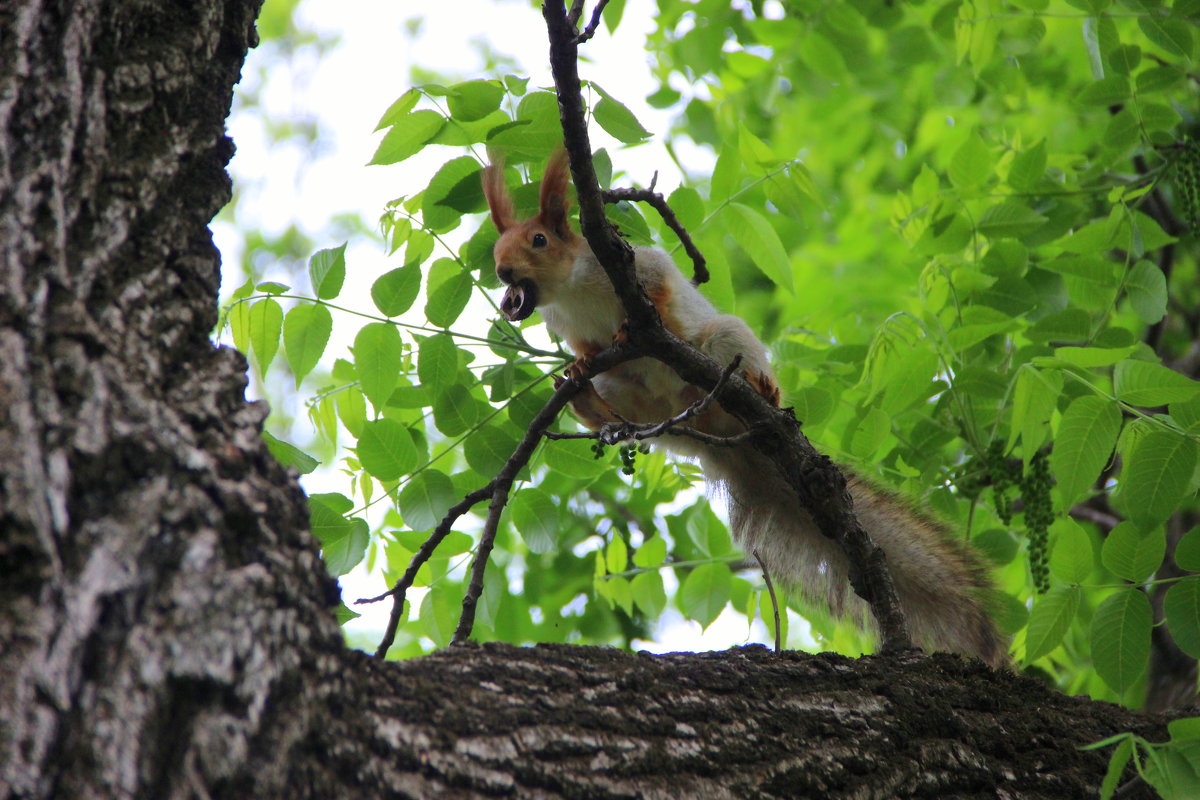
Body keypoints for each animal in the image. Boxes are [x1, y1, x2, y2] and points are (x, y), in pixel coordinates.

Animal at [482, 151, 1008, 671]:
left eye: (539, 239)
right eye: (497, 249)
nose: (504, 273)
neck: (569, 290)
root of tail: (729, 443)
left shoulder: (631, 265)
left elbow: (658, 285)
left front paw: (641, 320)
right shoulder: (567, 327)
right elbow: (585, 350)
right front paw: (578, 365)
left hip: (724, 341)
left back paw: (763, 388)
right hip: (654, 409)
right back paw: (594, 406)